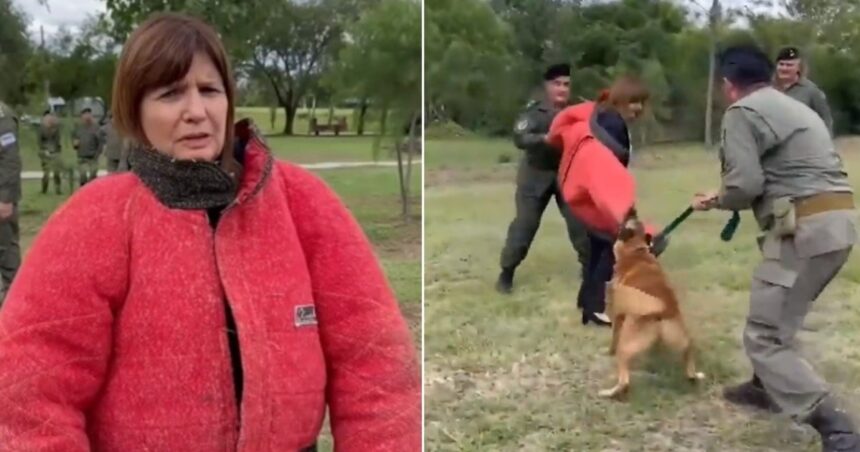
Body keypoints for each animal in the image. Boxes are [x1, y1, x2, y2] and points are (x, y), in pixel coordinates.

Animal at [596, 208, 704, 400]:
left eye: (626, 221)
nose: (632, 210)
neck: (635, 250)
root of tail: (664, 309)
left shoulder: (618, 315)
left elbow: (613, 338)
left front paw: (608, 352)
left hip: (626, 346)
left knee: (624, 381)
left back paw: (608, 392)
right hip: (683, 339)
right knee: (689, 358)